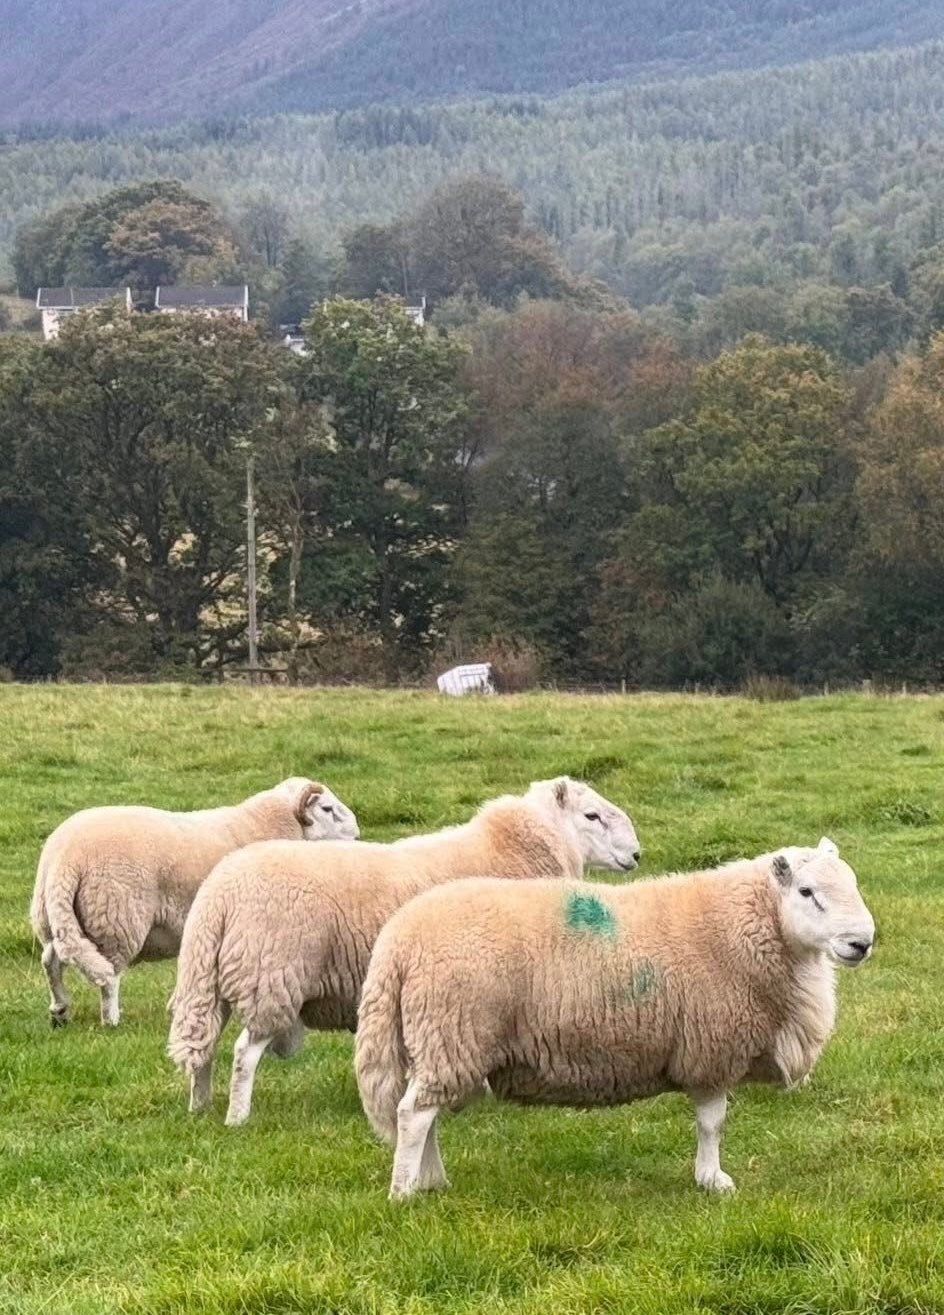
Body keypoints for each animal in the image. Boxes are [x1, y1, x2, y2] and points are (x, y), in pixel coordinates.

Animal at [31, 777, 358, 1028]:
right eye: (327, 809)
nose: (357, 836)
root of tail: (65, 857)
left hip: (58, 918)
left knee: (52, 961)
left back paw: (59, 1011)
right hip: (115, 918)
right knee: (108, 975)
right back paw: (110, 1019)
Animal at [168, 776, 641, 1125]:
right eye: (592, 816)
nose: (637, 855)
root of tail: (220, 892)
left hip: (212, 978)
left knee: (203, 1045)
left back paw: (200, 1107)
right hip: (271, 975)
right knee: (244, 1053)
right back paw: (237, 1117)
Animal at [355, 838, 875, 1200]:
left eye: (853, 884)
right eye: (807, 892)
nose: (862, 943)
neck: (750, 927)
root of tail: (399, 938)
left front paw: (708, 1177)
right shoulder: (712, 1048)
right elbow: (712, 1123)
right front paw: (712, 1180)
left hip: (440, 1042)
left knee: (422, 1112)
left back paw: (432, 1181)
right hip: (451, 1033)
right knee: (413, 1114)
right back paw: (404, 1192)